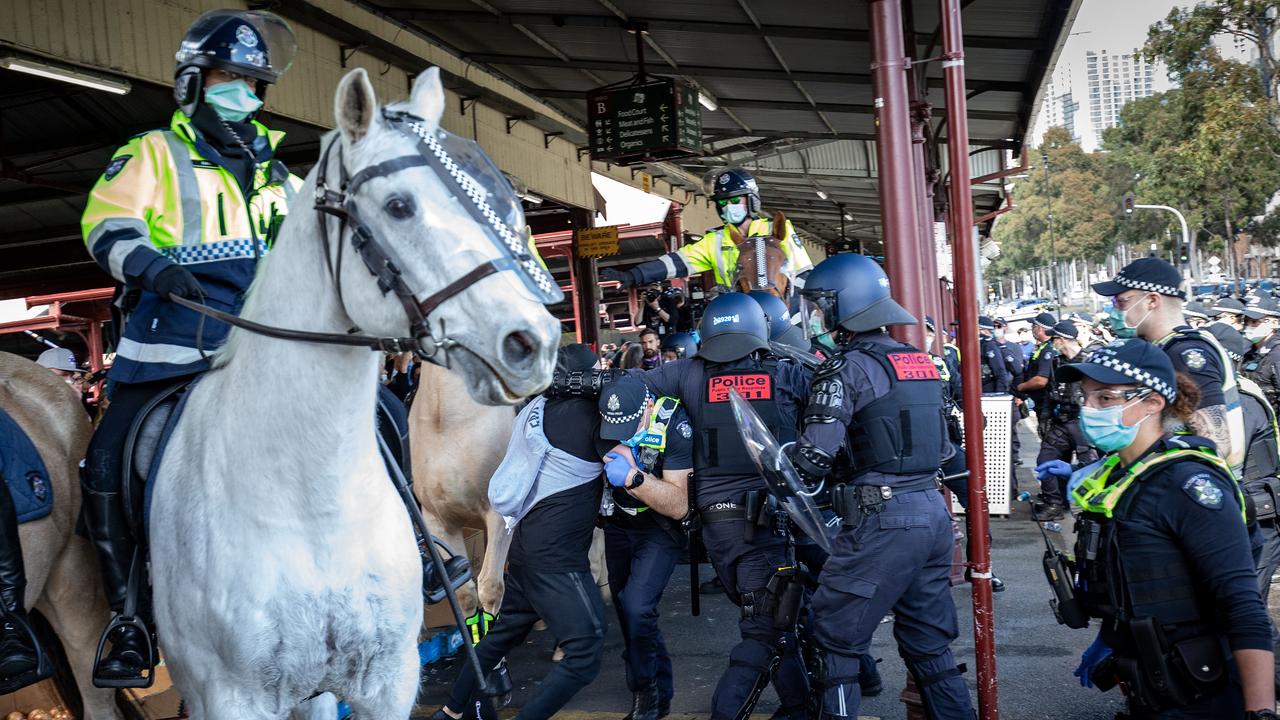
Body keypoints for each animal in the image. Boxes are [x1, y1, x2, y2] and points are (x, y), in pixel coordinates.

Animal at [142, 64, 558, 712]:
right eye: (398, 206)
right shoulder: (233, 695)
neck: (312, 503)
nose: (532, 341)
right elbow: (474, 597)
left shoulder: (390, 675)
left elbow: (487, 590)